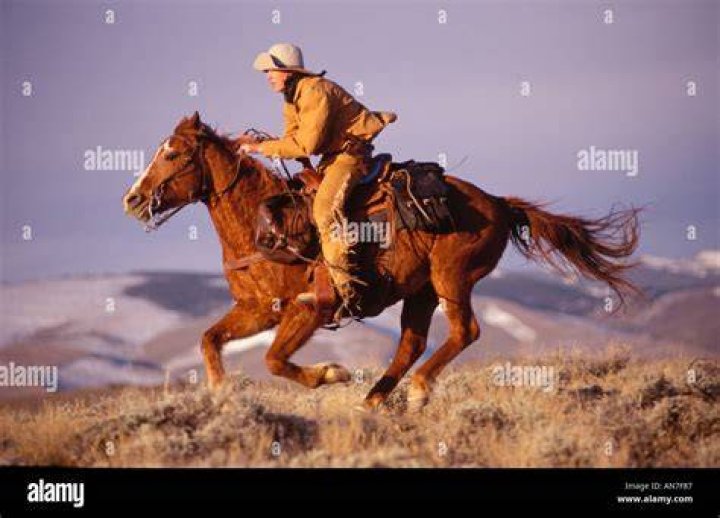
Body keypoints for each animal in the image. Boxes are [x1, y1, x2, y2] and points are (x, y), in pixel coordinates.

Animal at [122, 112, 641, 411]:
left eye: (172, 153)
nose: (133, 199)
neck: (261, 222)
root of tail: (496, 202)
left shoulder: (309, 308)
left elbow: (272, 359)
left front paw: (330, 373)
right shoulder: (257, 310)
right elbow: (210, 339)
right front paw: (219, 393)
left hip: (451, 277)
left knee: (464, 332)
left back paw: (417, 389)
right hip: (421, 291)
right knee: (412, 343)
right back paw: (373, 400)